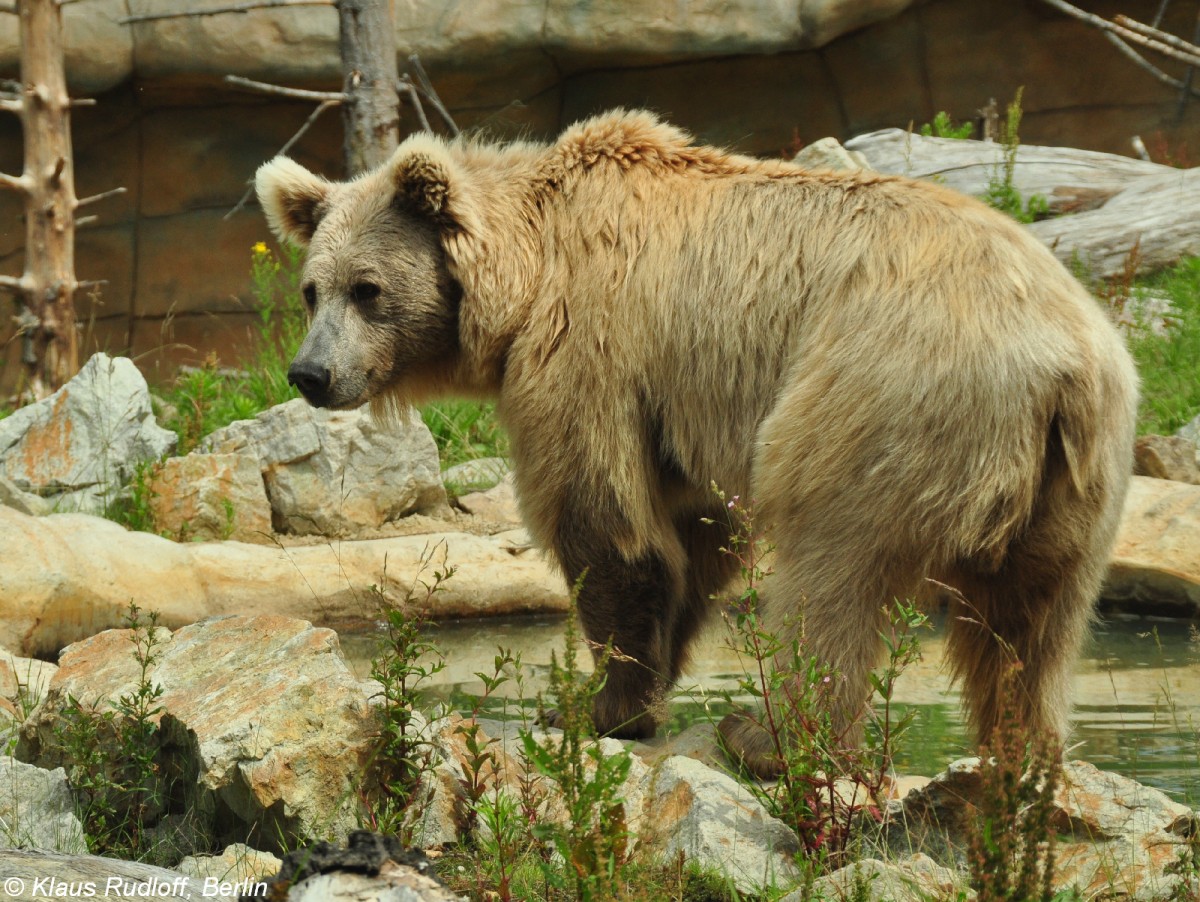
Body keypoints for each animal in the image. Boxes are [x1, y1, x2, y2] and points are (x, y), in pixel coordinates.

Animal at [258, 110, 1137, 777]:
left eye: (368, 290)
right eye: (311, 290)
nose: (311, 373)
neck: (525, 279)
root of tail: (1063, 364)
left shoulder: (589, 351)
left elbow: (602, 523)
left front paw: (595, 705)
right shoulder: (675, 405)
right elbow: (692, 533)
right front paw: (644, 684)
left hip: (886, 397)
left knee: (834, 568)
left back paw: (769, 737)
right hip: (1078, 483)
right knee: (1031, 627)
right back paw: (1021, 751)